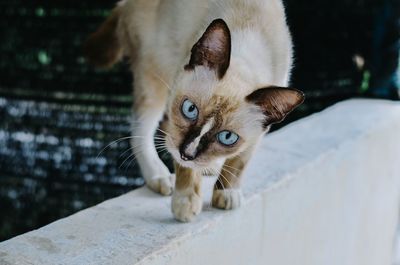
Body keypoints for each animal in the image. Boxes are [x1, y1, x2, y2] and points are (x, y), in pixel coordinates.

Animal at [83, 0, 304, 221]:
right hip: (155, 77)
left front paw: (227, 193)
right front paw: (186, 204)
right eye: (190, 110)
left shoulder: (259, 133)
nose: (187, 154)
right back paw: (160, 176)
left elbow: (239, 162)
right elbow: (185, 168)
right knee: (142, 129)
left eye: (227, 138)